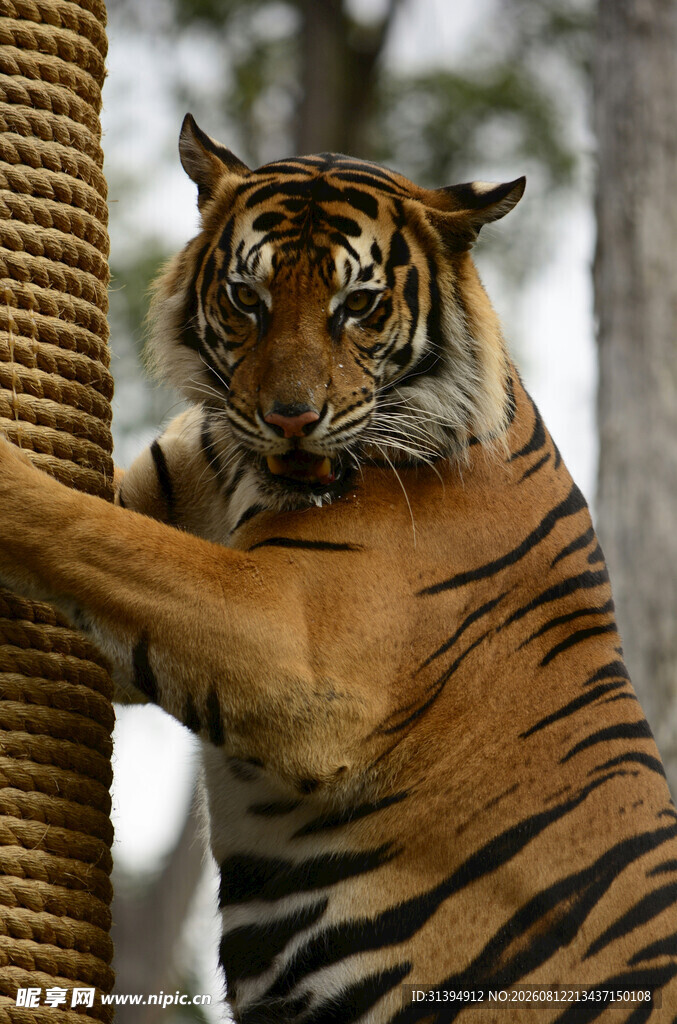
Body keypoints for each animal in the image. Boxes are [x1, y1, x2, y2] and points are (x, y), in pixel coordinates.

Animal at [0, 112, 676, 1023]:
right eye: (245, 299)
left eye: (357, 305)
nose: (291, 418)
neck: (243, 474)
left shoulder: (296, 644)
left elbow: (89, 532)